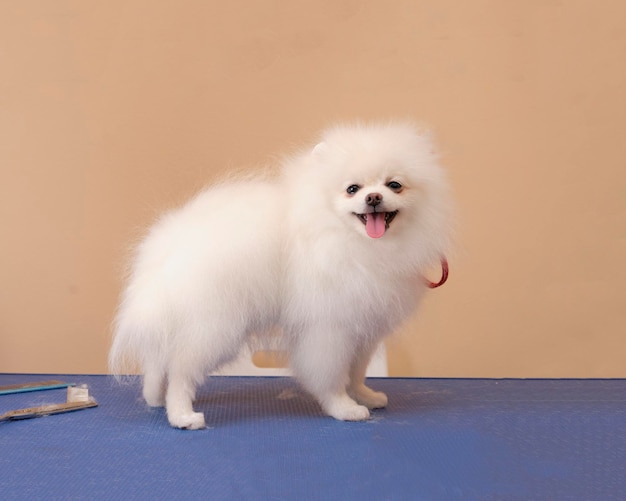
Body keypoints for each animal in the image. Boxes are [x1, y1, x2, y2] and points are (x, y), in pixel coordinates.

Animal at [109, 120, 450, 426]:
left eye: (394, 185)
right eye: (352, 189)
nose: (373, 198)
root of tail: (169, 242)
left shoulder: (362, 322)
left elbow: (356, 370)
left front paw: (364, 395)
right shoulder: (329, 326)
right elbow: (331, 375)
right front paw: (344, 408)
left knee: (158, 360)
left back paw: (154, 397)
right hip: (215, 324)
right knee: (180, 367)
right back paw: (181, 415)